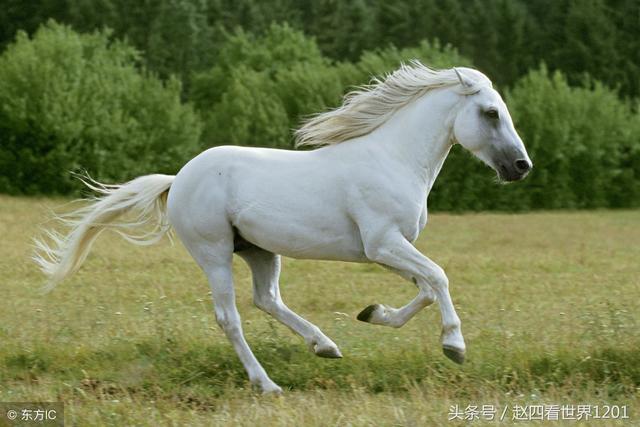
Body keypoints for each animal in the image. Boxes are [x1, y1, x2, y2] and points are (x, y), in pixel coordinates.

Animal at [36, 62, 536, 394]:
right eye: (491, 113)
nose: (521, 167)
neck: (393, 159)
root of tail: (179, 178)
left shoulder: (386, 250)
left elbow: (428, 288)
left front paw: (372, 313)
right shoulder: (383, 244)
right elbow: (439, 277)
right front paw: (455, 346)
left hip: (259, 250)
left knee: (267, 299)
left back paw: (325, 346)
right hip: (214, 253)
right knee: (230, 317)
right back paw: (268, 384)